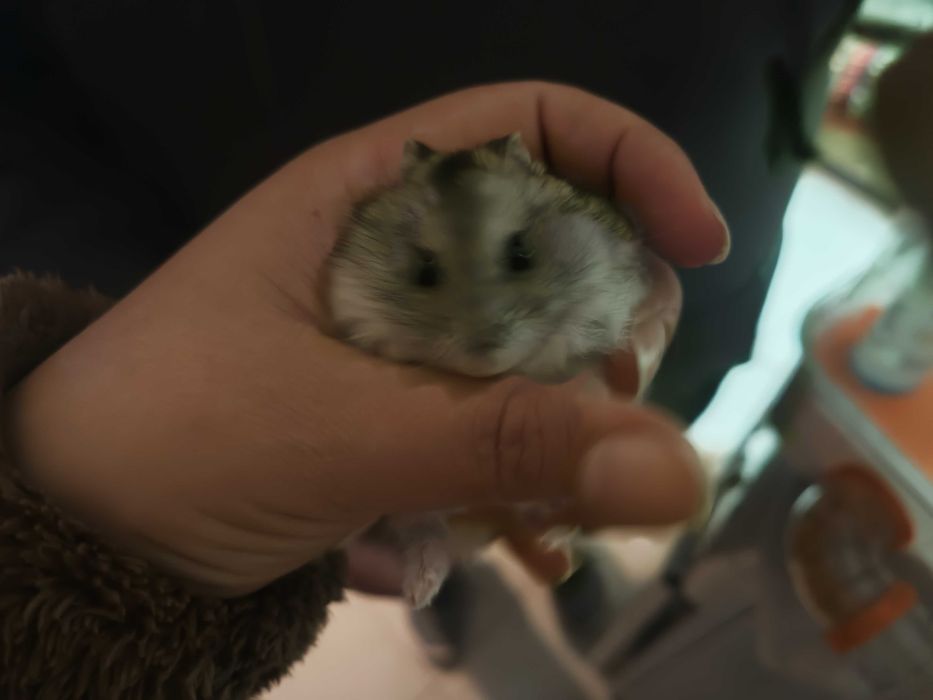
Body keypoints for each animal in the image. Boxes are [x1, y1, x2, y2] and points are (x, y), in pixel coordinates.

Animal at [326, 132, 648, 608]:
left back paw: (556, 532)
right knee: (425, 534)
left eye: (522, 253)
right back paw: (420, 590)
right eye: (424, 270)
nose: (485, 355)